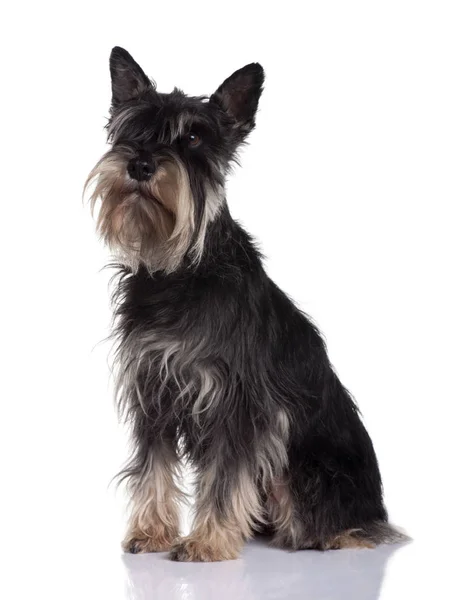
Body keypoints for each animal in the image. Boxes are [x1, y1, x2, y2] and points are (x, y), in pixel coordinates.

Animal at [85, 48, 404, 564]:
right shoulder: (154, 392)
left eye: (194, 137)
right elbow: (153, 467)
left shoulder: (237, 404)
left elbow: (224, 476)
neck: (181, 271)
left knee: (338, 521)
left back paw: (335, 534)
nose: (141, 165)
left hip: (308, 465)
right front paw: (152, 532)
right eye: (132, 130)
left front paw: (207, 540)